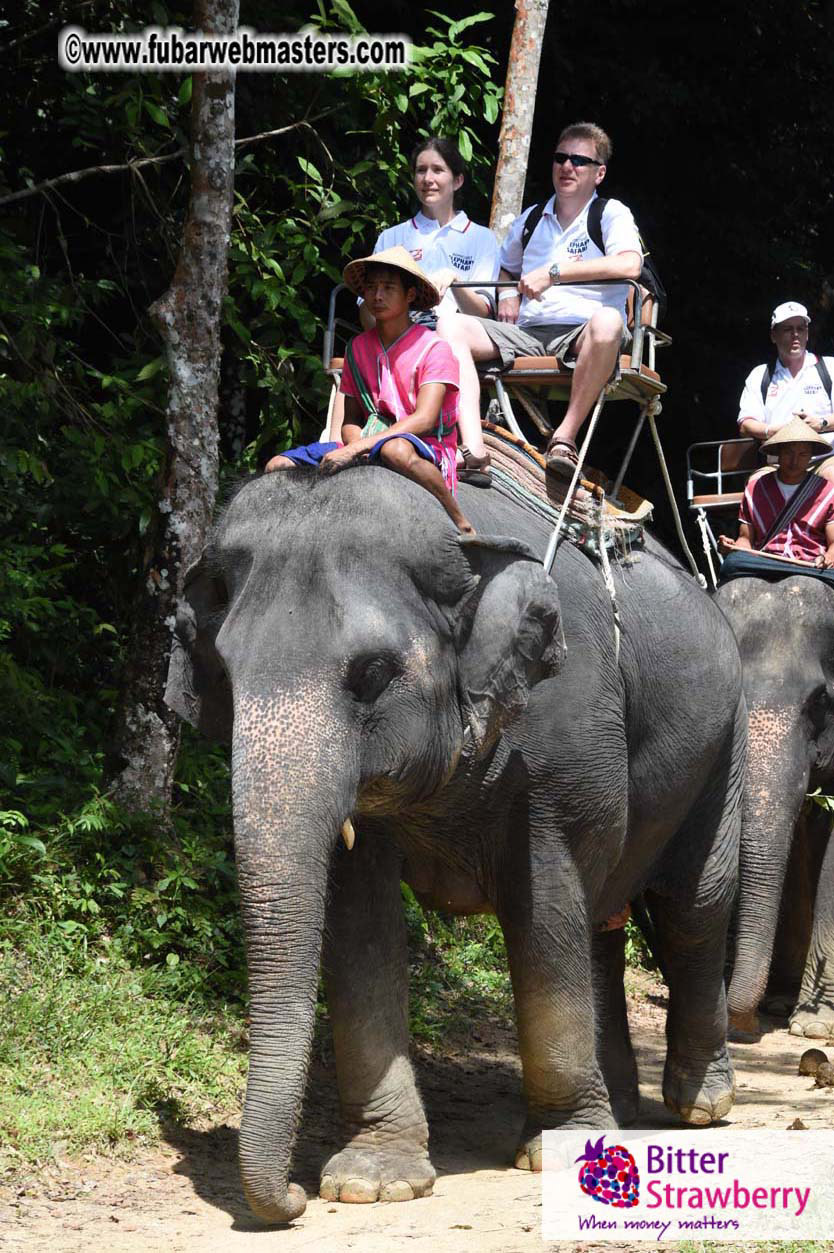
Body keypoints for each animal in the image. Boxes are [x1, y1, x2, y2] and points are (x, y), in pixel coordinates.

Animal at [166, 465, 746, 1224]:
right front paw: (372, 1182)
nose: (291, 1197)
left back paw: (700, 1107)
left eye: (372, 674)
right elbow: (363, 926)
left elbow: (544, 904)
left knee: (692, 907)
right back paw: (618, 1108)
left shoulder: (563, 738)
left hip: (726, 738)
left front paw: (554, 1153)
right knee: (603, 921)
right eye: (226, 677)